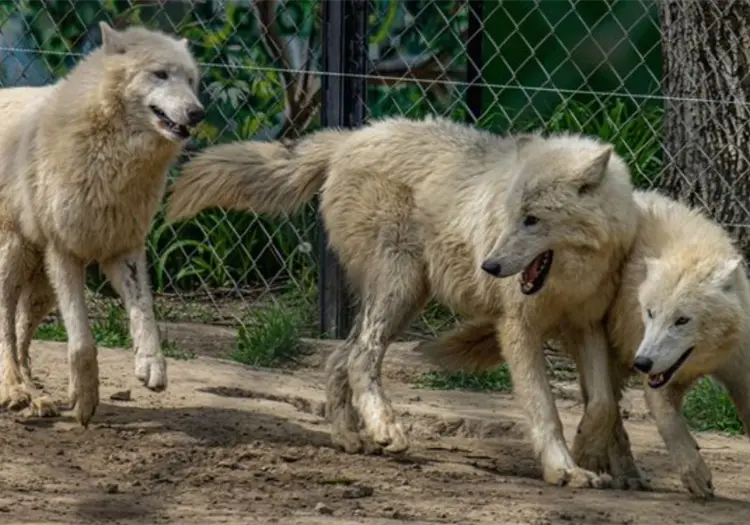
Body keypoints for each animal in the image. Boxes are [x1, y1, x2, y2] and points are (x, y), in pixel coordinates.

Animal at [0, 22, 204, 426]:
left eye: (191, 80)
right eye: (160, 74)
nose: (197, 113)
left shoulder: (123, 249)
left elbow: (145, 314)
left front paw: (151, 366)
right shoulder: (64, 252)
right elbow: (81, 341)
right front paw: (85, 398)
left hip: (40, 288)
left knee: (20, 336)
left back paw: (37, 396)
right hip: (12, 258)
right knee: (5, 333)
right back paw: (14, 390)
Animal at [165, 115, 637, 489]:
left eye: (533, 220)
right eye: (511, 217)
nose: (489, 265)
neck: (569, 280)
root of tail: (350, 137)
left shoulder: (586, 325)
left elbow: (602, 403)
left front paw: (589, 454)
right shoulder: (517, 328)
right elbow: (544, 409)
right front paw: (565, 469)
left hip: (403, 298)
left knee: (338, 358)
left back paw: (350, 438)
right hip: (400, 288)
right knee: (362, 357)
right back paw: (387, 430)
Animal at [417, 189, 750, 499]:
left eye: (682, 320)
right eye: (650, 313)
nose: (643, 363)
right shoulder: (651, 366)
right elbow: (671, 424)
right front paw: (696, 475)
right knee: (608, 411)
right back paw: (622, 473)